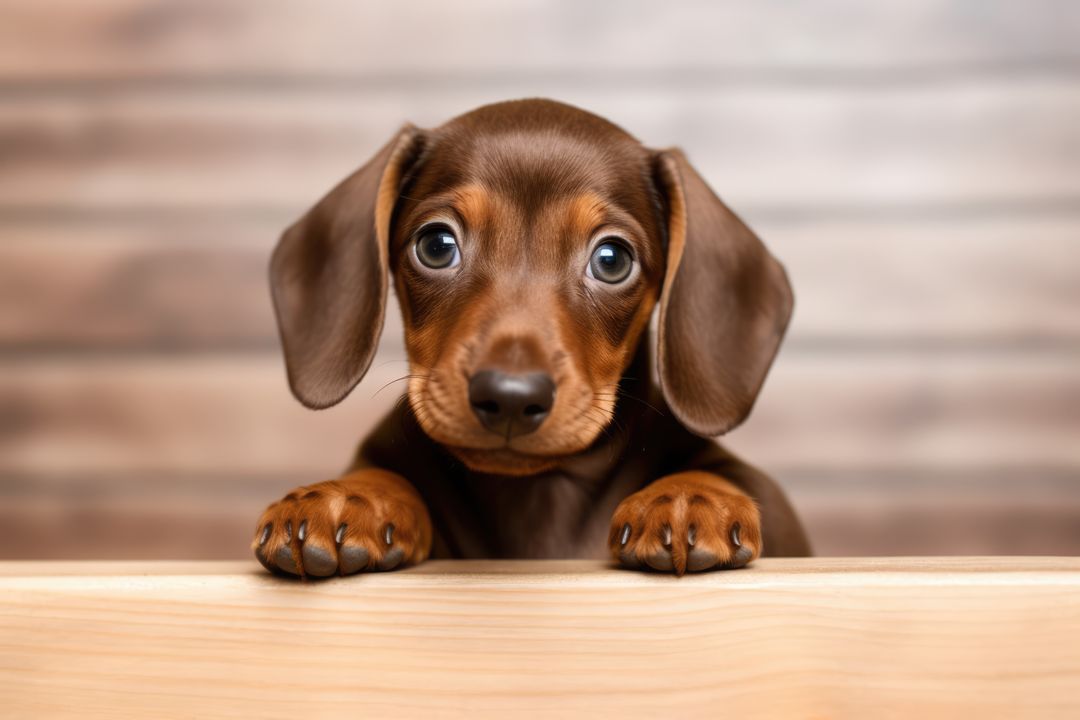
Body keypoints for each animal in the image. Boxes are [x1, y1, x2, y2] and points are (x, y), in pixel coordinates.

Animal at [252, 98, 812, 578]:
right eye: (436, 245)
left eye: (613, 260)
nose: (509, 398)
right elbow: (386, 472)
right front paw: (349, 497)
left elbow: (727, 473)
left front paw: (687, 497)